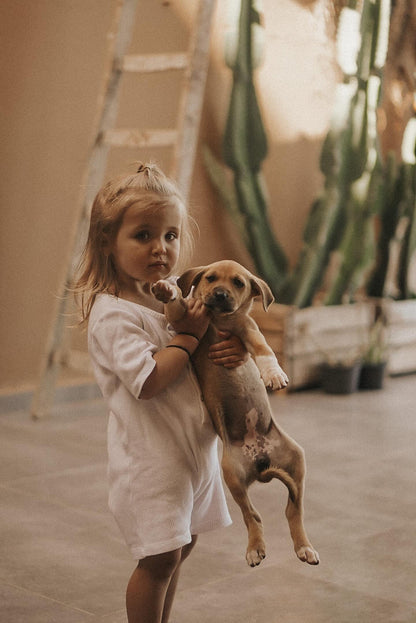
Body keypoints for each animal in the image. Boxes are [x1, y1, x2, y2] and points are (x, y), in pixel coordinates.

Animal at [153, 260, 318, 568]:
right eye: (210, 278)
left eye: (239, 283)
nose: (219, 294)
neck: (221, 321)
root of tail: (261, 460)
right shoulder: (186, 322)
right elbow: (177, 306)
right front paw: (166, 289)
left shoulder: (249, 330)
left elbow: (264, 350)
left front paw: (274, 374)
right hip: (232, 475)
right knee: (252, 514)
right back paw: (256, 548)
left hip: (296, 460)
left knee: (293, 511)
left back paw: (303, 547)